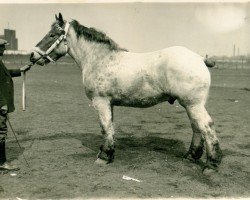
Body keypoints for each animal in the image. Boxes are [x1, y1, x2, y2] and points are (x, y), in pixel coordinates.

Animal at [29, 12, 223, 173]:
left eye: (52, 35)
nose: (32, 56)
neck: (100, 59)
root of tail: (199, 58)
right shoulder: (109, 103)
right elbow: (110, 127)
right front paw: (109, 153)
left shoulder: (100, 102)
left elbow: (105, 127)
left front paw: (103, 157)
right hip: (192, 105)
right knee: (196, 127)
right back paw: (191, 156)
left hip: (193, 104)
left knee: (206, 127)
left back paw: (211, 165)